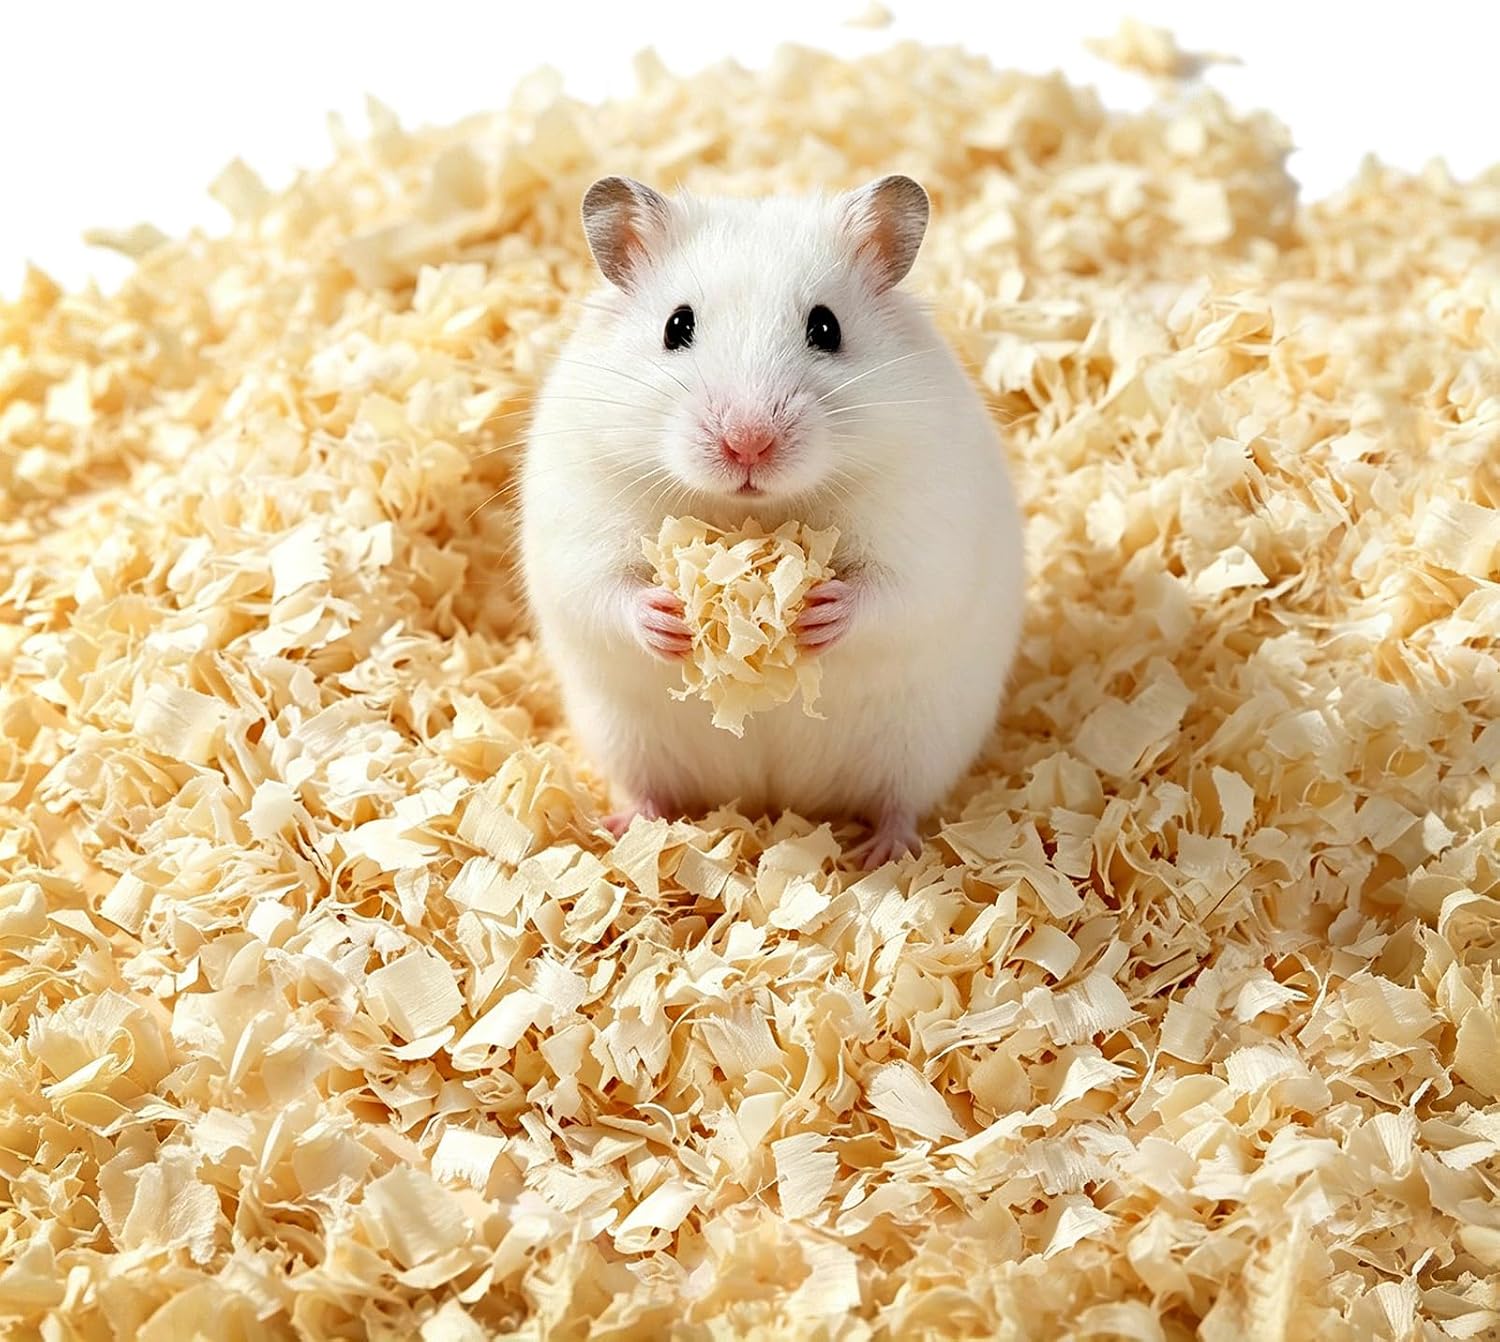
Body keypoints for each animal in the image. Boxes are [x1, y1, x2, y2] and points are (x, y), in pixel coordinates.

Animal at [520, 174, 1024, 867]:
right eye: (677, 325)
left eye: (826, 326)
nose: (748, 442)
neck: (751, 513)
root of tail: (773, 799)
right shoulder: (578, 519)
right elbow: (604, 590)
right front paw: (671, 619)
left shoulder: (928, 532)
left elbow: (895, 596)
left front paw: (817, 612)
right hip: (624, 738)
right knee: (647, 789)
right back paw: (622, 832)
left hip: (924, 743)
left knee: (899, 802)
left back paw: (884, 855)